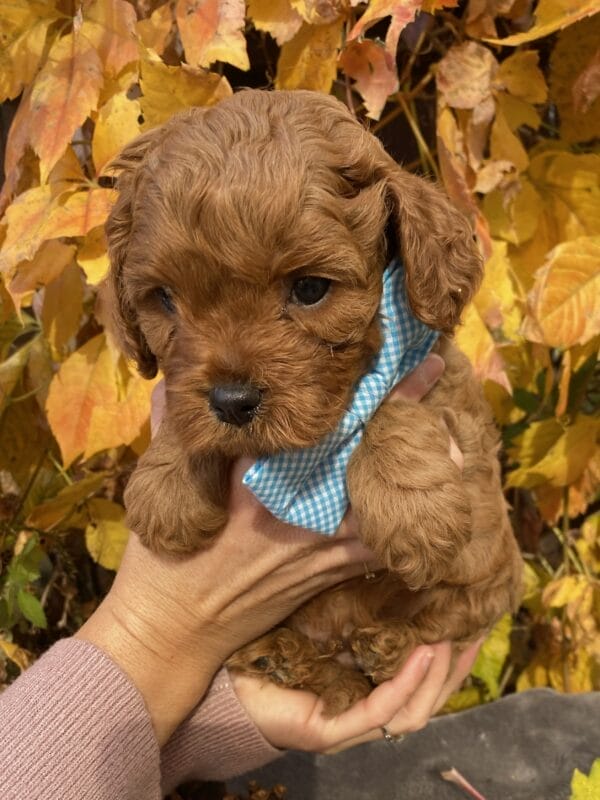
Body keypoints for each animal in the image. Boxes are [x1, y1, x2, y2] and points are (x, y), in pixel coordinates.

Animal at [105, 90, 524, 716]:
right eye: (165, 299)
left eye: (309, 289)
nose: (233, 402)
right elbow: (178, 408)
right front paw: (167, 485)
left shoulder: (440, 380)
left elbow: (389, 402)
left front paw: (412, 514)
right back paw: (282, 656)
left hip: (491, 578)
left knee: (439, 625)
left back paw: (384, 647)